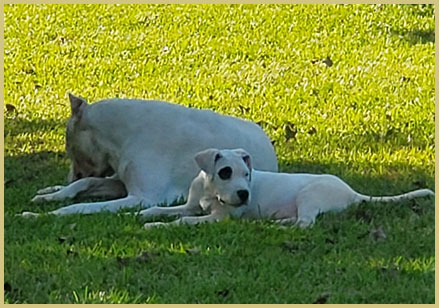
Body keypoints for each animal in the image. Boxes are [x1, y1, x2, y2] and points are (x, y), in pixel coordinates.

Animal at [20, 94, 276, 217]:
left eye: (69, 147)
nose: (68, 177)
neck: (124, 134)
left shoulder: (142, 198)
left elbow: (80, 206)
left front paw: (50, 212)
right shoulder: (119, 183)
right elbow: (85, 183)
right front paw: (53, 195)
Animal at [142, 148, 436, 227]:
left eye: (247, 174)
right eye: (226, 172)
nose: (244, 194)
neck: (211, 193)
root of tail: (352, 192)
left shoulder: (219, 218)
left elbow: (183, 221)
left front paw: (156, 226)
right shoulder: (192, 204)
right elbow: (168, 209)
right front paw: (143, 214)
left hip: (310, 195)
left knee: (306, 223)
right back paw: (276, 223)